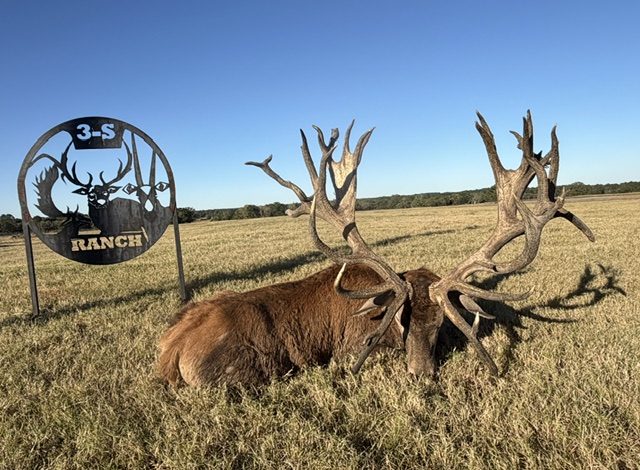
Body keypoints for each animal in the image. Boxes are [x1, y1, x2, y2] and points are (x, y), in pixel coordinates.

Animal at [157, 111, 595, 387]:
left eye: (441, 324)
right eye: (401, 322)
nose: (422, 375)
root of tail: (171, 352)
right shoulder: (351, 347)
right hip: (247, 372)